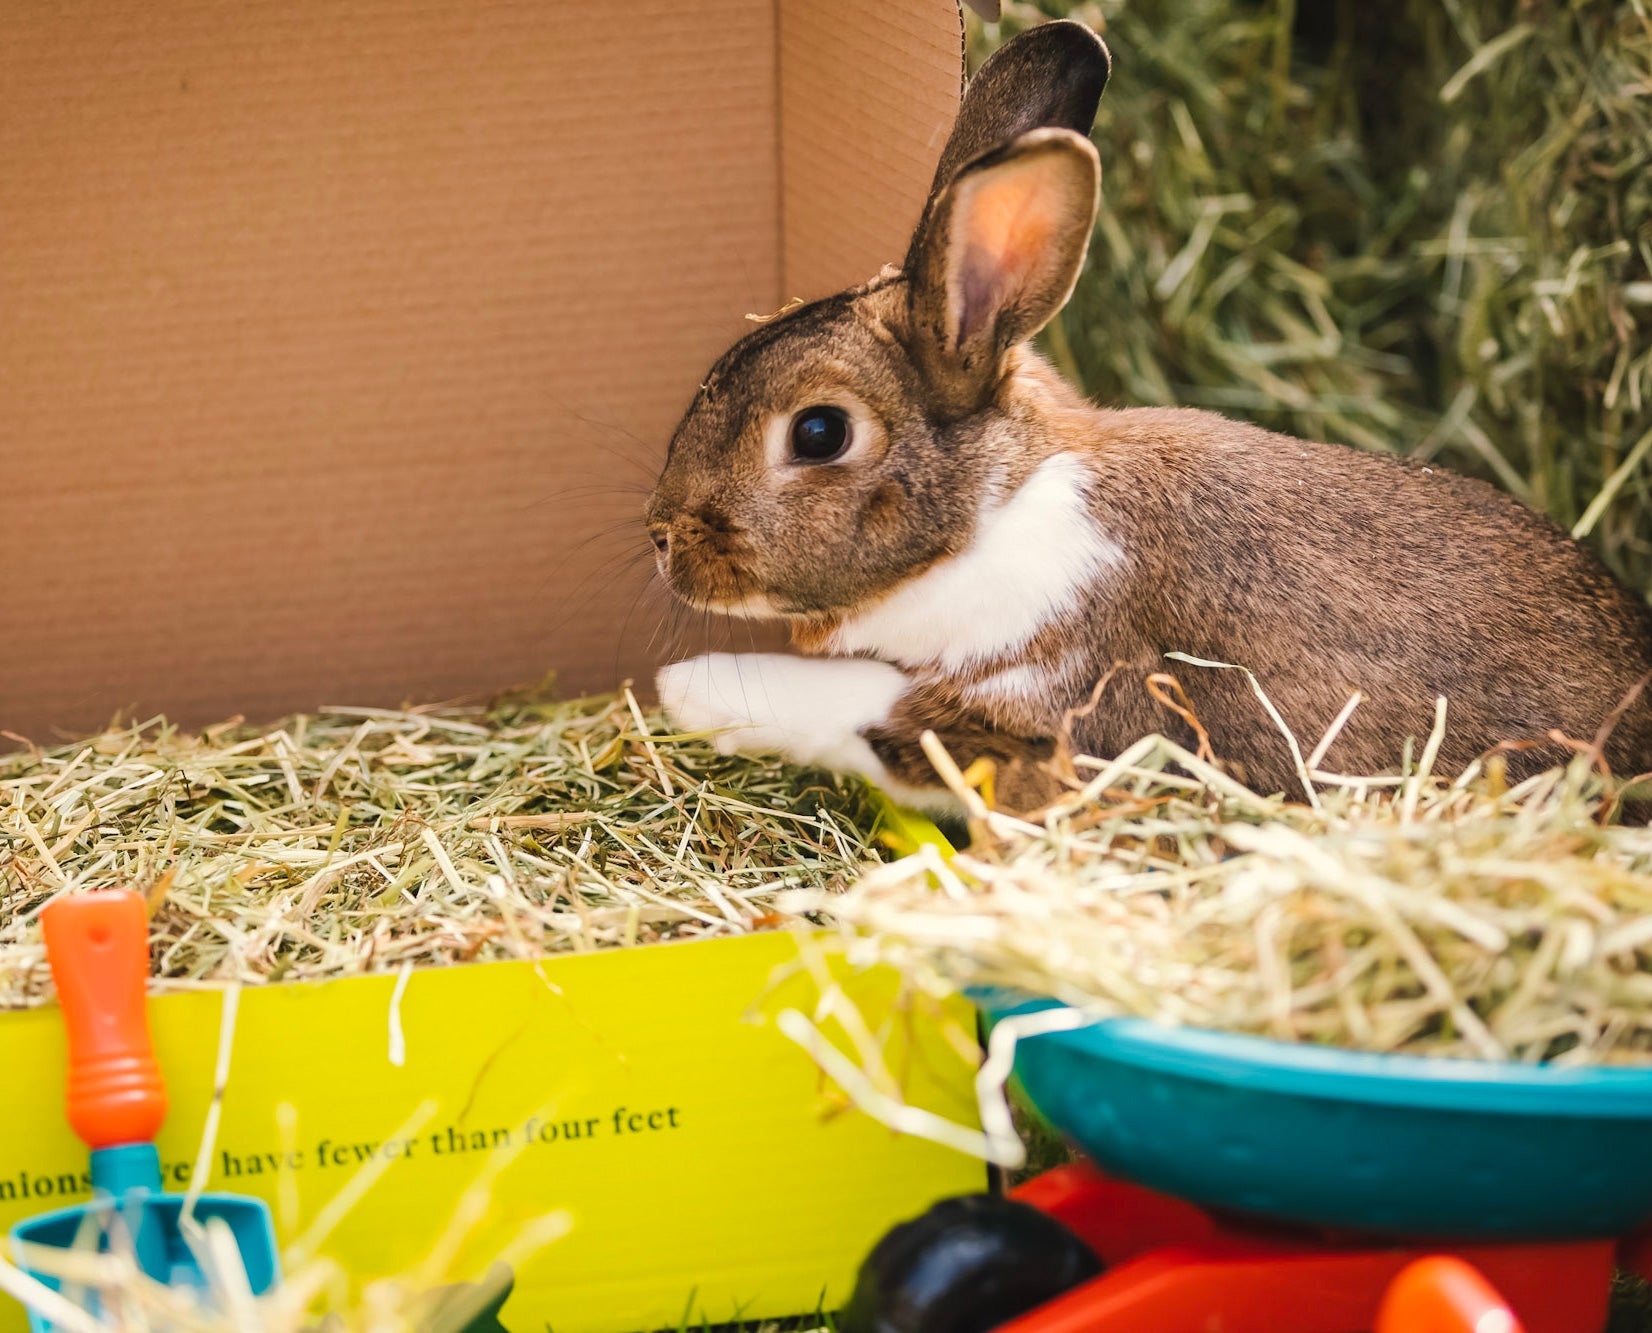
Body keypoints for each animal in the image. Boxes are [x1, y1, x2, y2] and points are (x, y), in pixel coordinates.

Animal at [646, 19, 1652, 815]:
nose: (661, 536)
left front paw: (685, 690)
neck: (995, 512)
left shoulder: (1040, 711)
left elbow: (857, 708)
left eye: (819, 433)